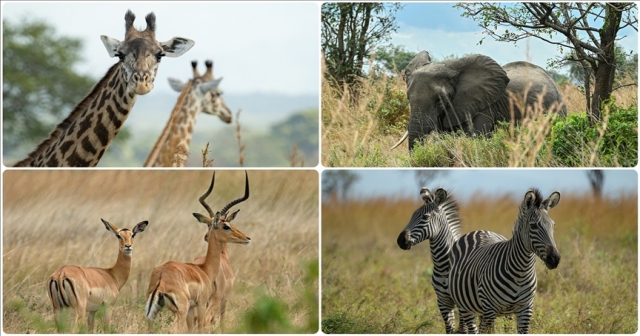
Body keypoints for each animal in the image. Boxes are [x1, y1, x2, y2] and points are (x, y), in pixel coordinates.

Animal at [396, 186, 504, 334]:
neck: (443, 266)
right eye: (412, 215)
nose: (401, 240)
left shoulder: (462, 302)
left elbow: (463, 330)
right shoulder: (442, 301)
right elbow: (450, 329)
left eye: (425, 217)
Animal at [444, 189, 560, 334]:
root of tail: (479, 231)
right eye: (533, 226)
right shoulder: (489, 309)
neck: (521, 272)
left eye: (553, 225)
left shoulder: (526, 308)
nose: (555, 259)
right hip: (465, 306)